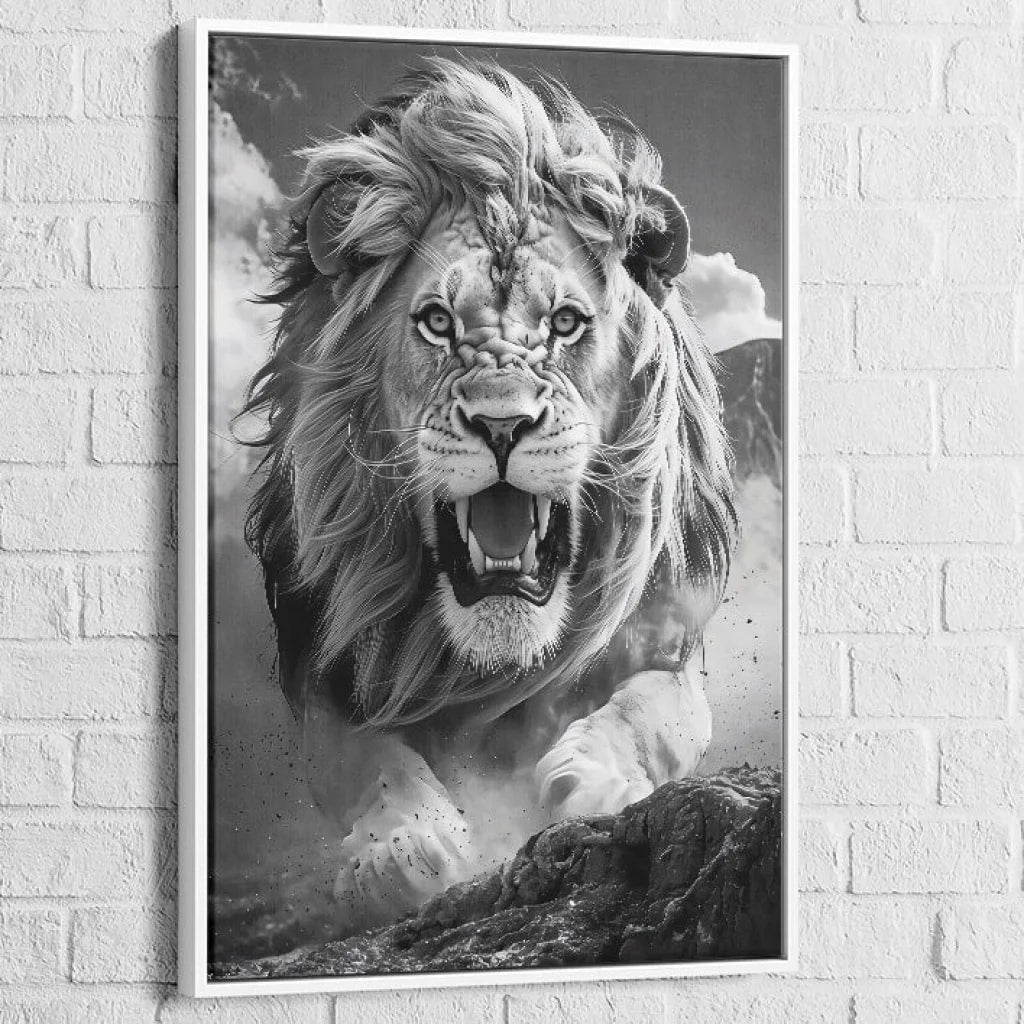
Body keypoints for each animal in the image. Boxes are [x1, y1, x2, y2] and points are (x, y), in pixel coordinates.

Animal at [243, 57, 736, 932]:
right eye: (436, 322)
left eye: (567, 323)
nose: (503, 424)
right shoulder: (326, 668)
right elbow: (368, 760)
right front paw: (400, 850)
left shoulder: (671, 644)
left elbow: (644, 713)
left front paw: (594, 783)